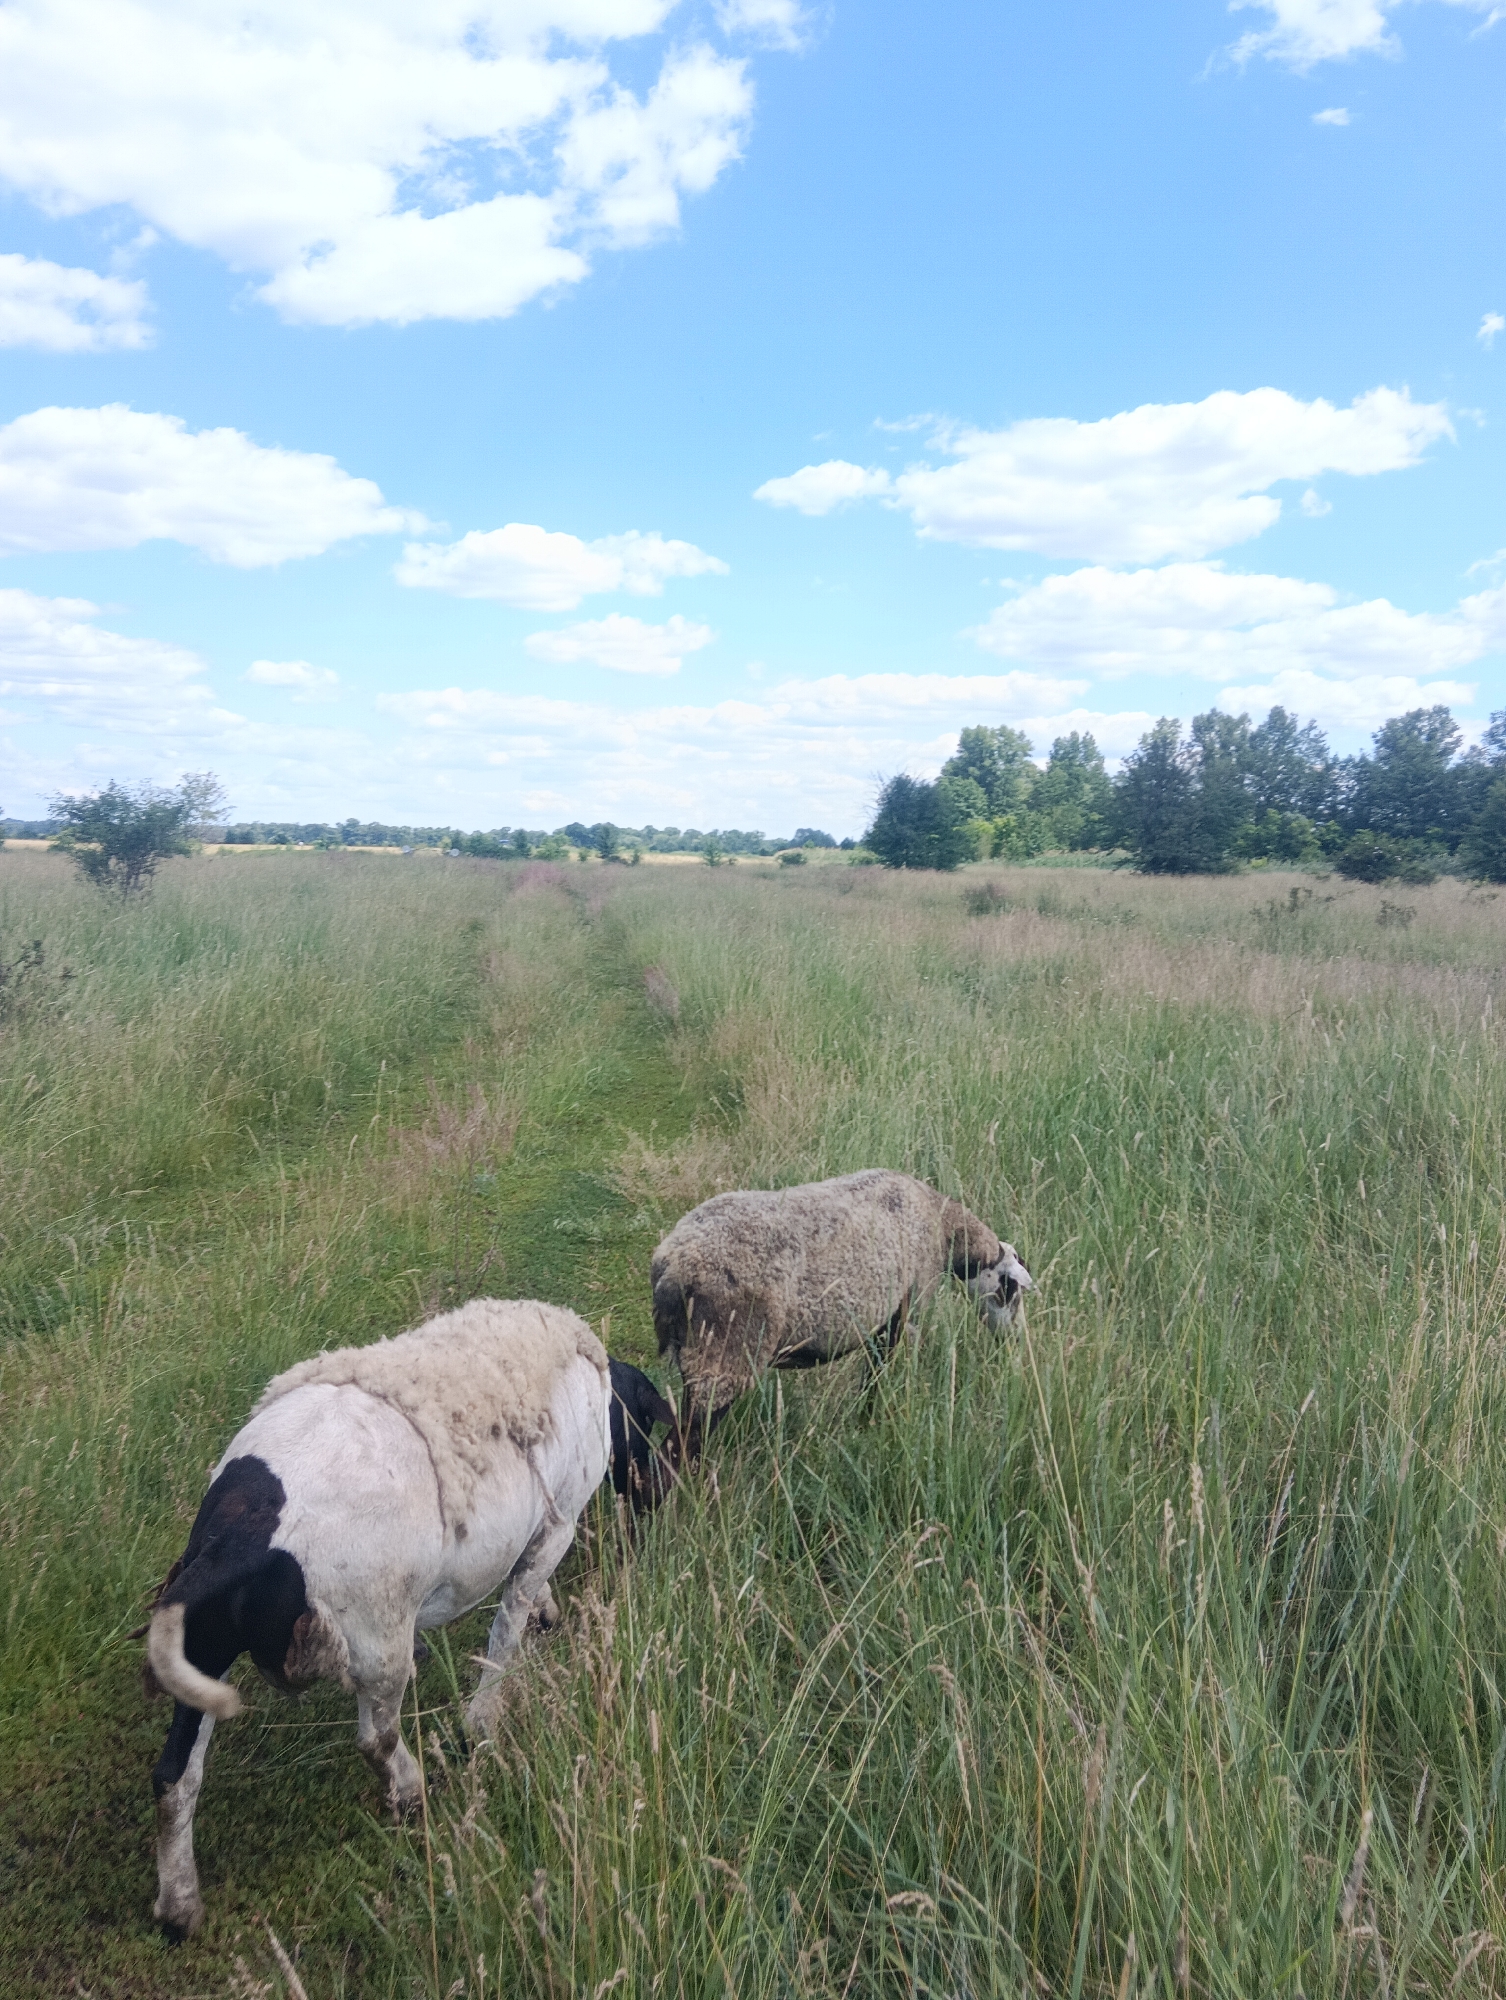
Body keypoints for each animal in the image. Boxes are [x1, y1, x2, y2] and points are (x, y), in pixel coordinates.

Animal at [143, 1298, 611, 1938]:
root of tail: (240, 1535)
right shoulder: (558, 1520)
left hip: (205, 1649)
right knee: (375, 1737)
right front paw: (481, 1722)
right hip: (376, 1635)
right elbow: (508, 1625)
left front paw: (544, 1615)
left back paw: (179, 1906)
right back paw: (412, 1793)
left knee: (174, 1776)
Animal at [651, 1169, 1033, 1460]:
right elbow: (876, 1377)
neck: (942, 1227)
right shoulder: (901, 1313)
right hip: (725, 1350)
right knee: (674, 1452)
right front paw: (868, 1422)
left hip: (698, 1353)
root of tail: (671, 1266)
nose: (1015, 1341)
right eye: (1010, 1291)